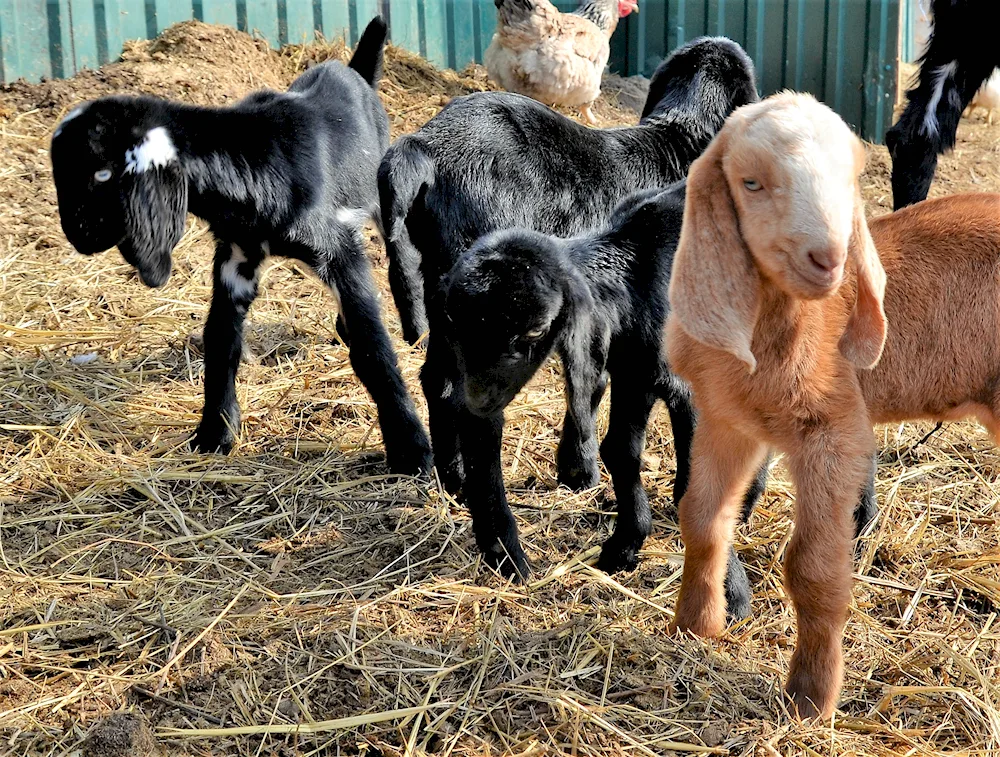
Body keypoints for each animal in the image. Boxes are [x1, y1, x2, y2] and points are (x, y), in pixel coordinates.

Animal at [668, 93, 1000, 720]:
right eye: (750, 182)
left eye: (850, 181)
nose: (831, 259)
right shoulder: (725, 418)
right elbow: (701, 517)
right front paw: (695, 628)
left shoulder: (832, 431)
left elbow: (812, 568)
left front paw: (809, 699)